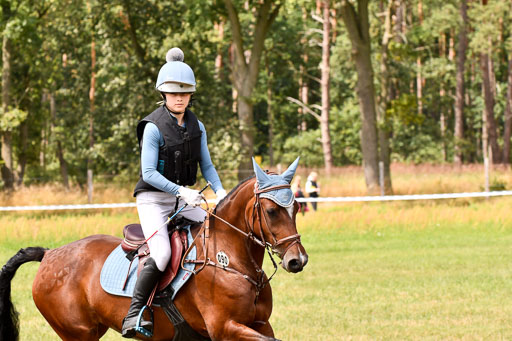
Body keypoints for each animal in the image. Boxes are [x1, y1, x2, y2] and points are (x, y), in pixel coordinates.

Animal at [0, 158, 308, 338]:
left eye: (296, 207)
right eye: (271, 211)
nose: (298, 260)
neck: (229, 259)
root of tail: (49, 255)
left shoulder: (259, 323)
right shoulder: (225, 328)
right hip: (77, 333)